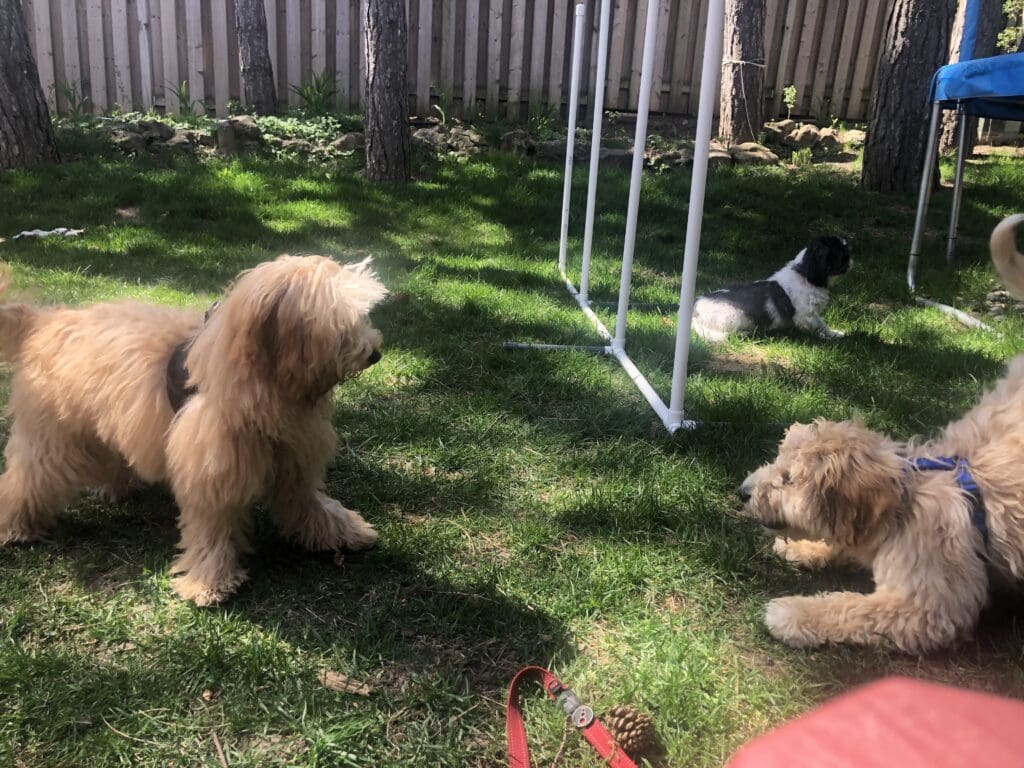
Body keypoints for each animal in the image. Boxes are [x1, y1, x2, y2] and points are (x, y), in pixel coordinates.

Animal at [0, 257, 387, 606]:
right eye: (339, 324)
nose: (376, 353)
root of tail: (43, 321)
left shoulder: (294, 459)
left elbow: (308, 501)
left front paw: (342, 531)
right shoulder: (211, 472)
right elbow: (212, 529)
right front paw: (208, 582)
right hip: (51, 439)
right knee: (28, 479)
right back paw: (14, 526)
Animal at [692, 234, 851, 342]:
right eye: (842, 255)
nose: (850, 260)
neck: (804, 274)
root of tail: (695, 312)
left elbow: (822, 324)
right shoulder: (806, 316)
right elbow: (819, 326)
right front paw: (832, 336)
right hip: (734, 318)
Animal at [741, 356, 1024, 655]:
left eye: (788, 478)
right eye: (777, 461)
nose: (742, 491)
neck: (903, 503)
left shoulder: (927, 608)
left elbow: (851, 607)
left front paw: (794, 612)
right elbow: (845, 546)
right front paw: (803, 548)